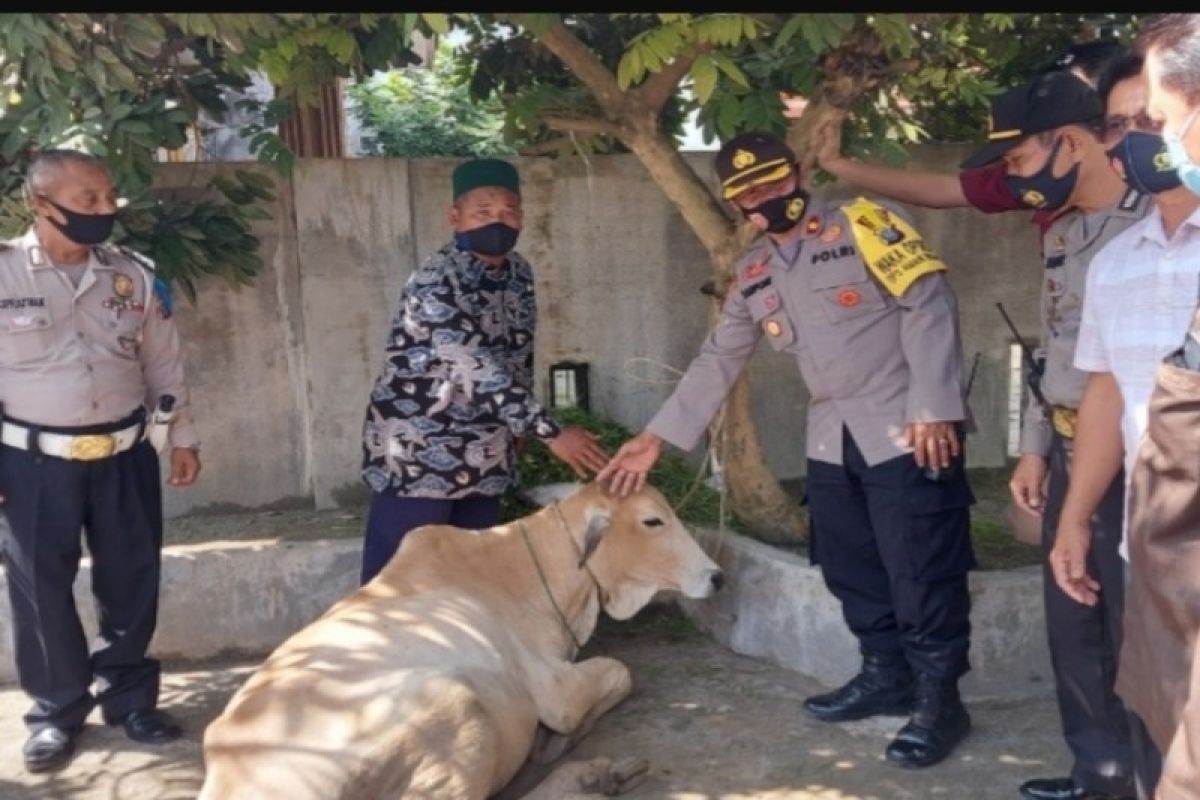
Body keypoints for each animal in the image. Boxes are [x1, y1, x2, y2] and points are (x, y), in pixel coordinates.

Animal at [196, 482, 720, 800]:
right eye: (653, 521)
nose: (716, 576)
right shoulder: (556, 691)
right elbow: (619, 675)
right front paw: (561, 738)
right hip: (457, 712)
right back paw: (591, 774)